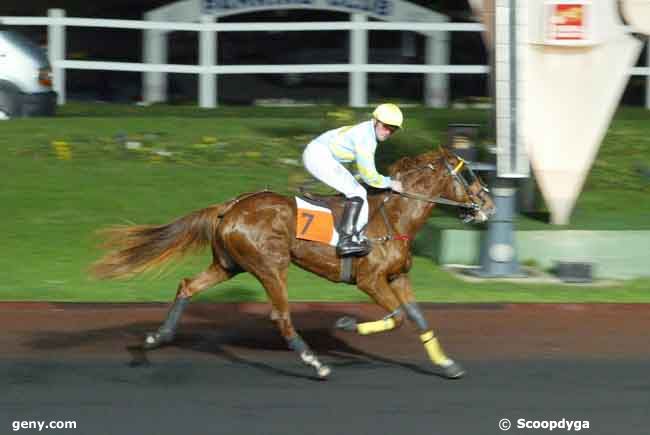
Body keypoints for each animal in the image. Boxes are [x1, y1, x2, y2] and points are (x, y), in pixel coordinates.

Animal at [91, 146, 494, 378]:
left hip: (229, 264)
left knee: (187, 286)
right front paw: (347, 325)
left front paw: (446, 364)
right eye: (469, 173)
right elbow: (396, 317)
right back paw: (315, 364)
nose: (489, 204)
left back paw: (157, 337)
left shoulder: (398, 277)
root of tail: (230, 207)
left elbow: (418, 318)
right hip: (270, 265)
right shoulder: (371, 280)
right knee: (281, 316)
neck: (393, 217)